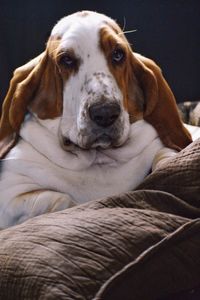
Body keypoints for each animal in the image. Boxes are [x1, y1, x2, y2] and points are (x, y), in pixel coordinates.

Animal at [0, 10, 191, 229]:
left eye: (118, 54)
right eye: (66, 60)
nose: (105, 113)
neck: (97, 160)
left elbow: (165, 156)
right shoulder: (10, 194)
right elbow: (60, 199)